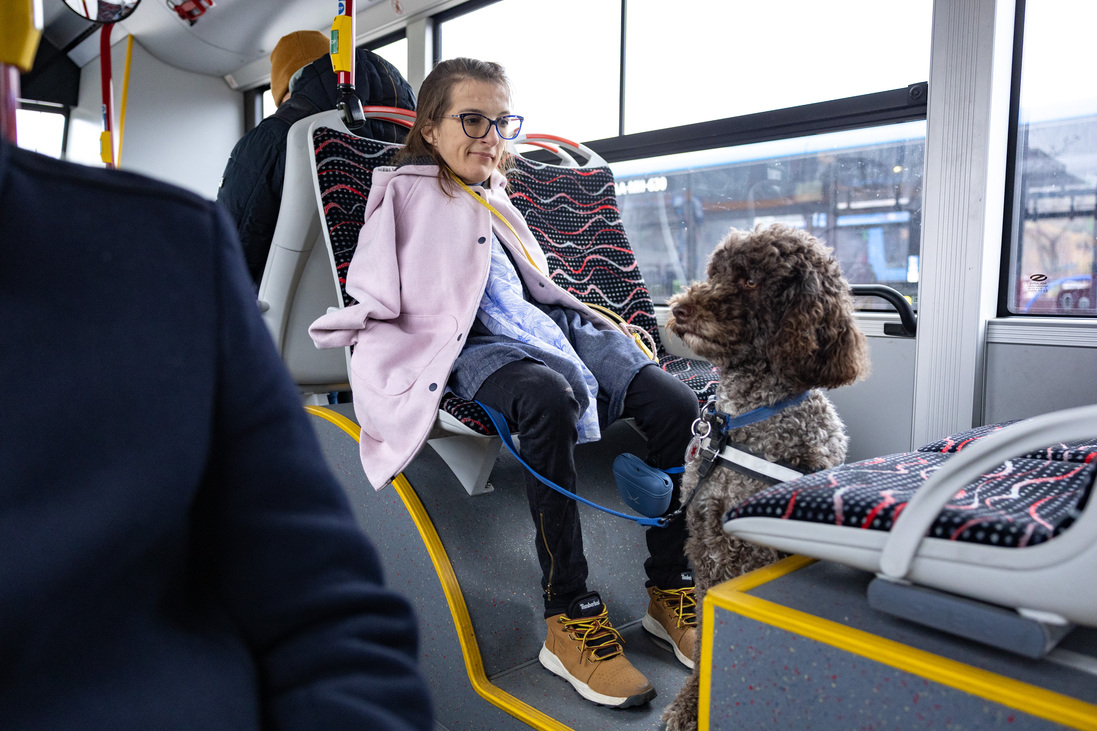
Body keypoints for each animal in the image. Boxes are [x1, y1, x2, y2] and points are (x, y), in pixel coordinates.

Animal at [653, 223, 868, 728]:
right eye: (715, 272)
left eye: (750, 281)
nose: (679, 309)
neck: (748, 418)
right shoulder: (704, 542)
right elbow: (707, 627)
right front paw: (692, 701)